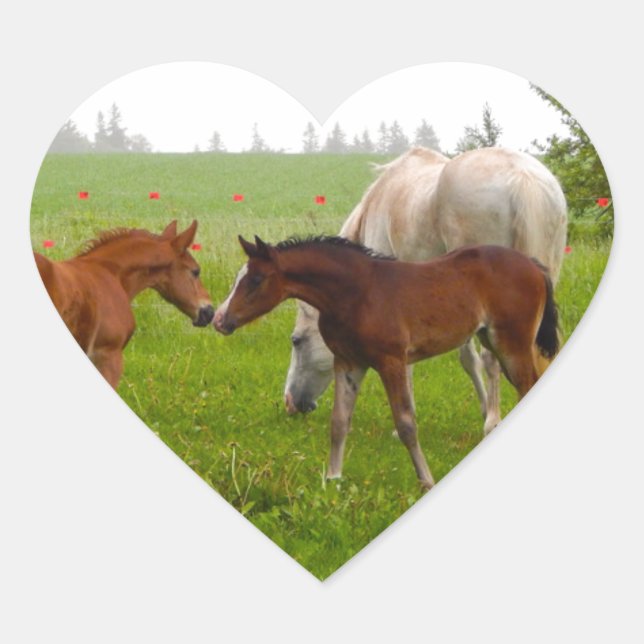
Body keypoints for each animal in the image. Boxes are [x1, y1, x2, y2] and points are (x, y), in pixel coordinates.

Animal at [214, 235, 559, 489]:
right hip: (494, 340)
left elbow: (406, 424)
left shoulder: (391, 361)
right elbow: (339, 422)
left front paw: (426, 481)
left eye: (256, 279)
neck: (358, 292)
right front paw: (333, 480)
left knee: (527, 385)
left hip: (512, 344)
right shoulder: (348, 362)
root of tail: (531, 264)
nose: (219, 319)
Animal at [284, 147, 567, 435]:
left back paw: (492, 422)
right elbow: (465, 356)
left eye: (296, 340)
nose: (290, 403)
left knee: (492, 357)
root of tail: (521, 178)